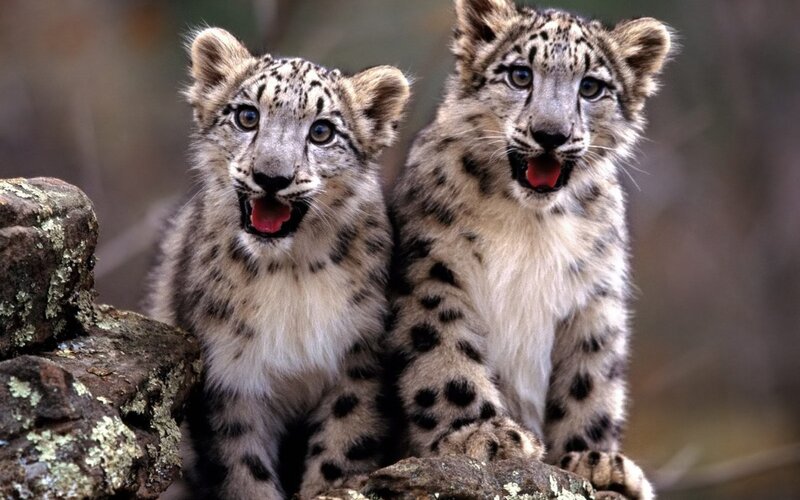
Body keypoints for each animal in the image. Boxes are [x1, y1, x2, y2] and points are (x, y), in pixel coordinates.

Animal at [146, 27, 410, 499]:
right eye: (247, 116)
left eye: (322, 131)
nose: (271, 177)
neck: (290, 274)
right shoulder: (230, 376)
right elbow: (243, 470)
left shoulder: (358, 361)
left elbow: (342, 449)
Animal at [387, 1, 673, 499]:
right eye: (521, 75)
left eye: (591, 86)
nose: (550, 134)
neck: (531, 223)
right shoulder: (432, 270)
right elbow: (443, 352)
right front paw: (482, 435)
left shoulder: (595, 294)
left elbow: (589, 379)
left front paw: (595, 460)